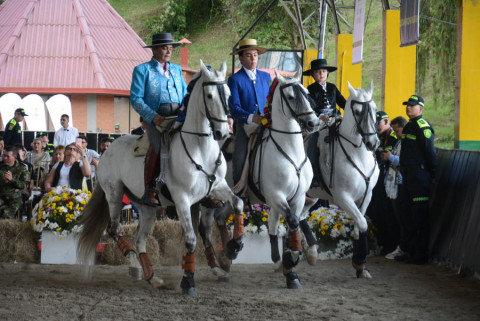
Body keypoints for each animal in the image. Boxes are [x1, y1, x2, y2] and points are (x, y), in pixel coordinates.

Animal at [79, 61, 244, 294]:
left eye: (228, 94)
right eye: (210, 95)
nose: (222, 132)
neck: (200, 148)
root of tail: (107, 150)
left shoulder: (216, 188)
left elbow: (237, 203)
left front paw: (235, 246)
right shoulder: (182, 199)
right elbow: (191, 239)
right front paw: (188, 281)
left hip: (146, 208)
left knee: (139, 239)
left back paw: (152, 276)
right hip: (115, 195)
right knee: (114, 229)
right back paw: (135, 266)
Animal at [308, 81, 378, 276]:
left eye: (375, 109)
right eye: (357, 112)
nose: (373, 143)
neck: (358, 156)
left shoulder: (366, 196)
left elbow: (358, 227)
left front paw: (360, 265)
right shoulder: (342, 197)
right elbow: (362, 224)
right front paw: (359, 261)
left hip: (310, 196)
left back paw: (309, 254)